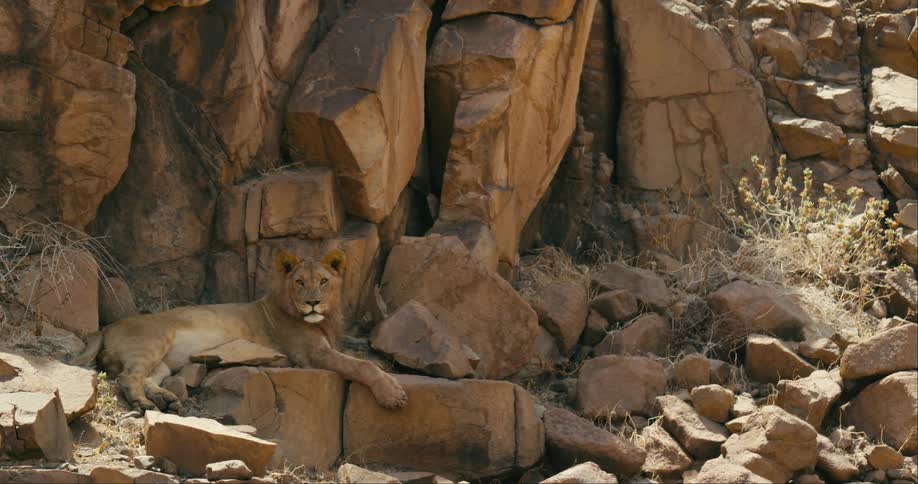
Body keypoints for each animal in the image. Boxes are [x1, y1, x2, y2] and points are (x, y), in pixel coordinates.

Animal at [72, 249, 407, 412]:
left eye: (324, 281)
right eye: (300, 282)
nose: (312, 302)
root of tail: (108, 325)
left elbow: (364, 359)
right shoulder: (311, 354)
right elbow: (361, 365)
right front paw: (392, 394)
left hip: (165, 361)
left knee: (148, 378)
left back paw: (167, 400)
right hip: (154, 341)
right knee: (128, 378)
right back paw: (143, 403)